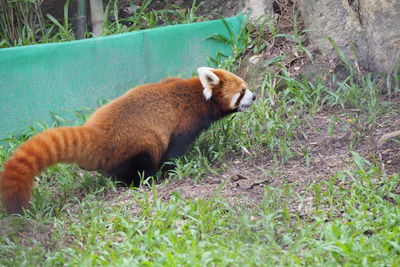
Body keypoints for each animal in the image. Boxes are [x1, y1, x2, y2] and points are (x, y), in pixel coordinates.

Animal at [0, 68, 255, 215]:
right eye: (242, 91)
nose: (254, 96)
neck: (199, 95)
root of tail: (97, 133)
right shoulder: (184, 122)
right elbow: (173, 152)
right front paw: (172, 169)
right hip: (140, 143)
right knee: (140, 162)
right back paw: (142, 181)